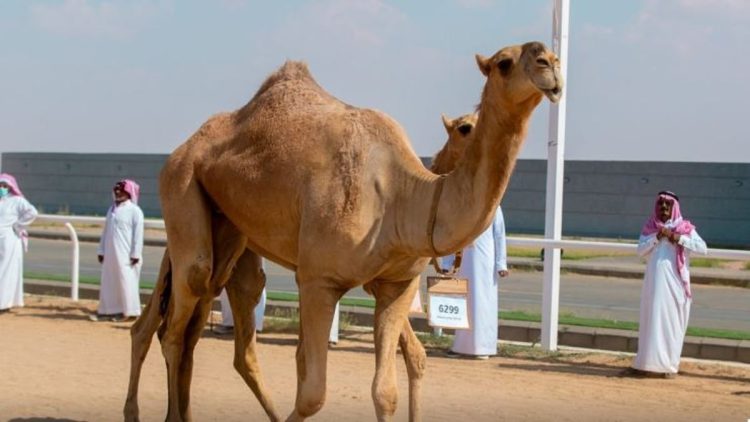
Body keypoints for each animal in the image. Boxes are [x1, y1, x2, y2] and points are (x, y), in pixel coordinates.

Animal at [125, 40, 564, 422]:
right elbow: (312, 392)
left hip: (229, 232)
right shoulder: (318, 280)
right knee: (175, 323)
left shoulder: (395, 285)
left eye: (553, 55)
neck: (403, 196)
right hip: (181, 188)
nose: (551, 65)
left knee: (202, 327)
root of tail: (185, 147)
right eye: (504, 62)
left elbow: (385, 390)